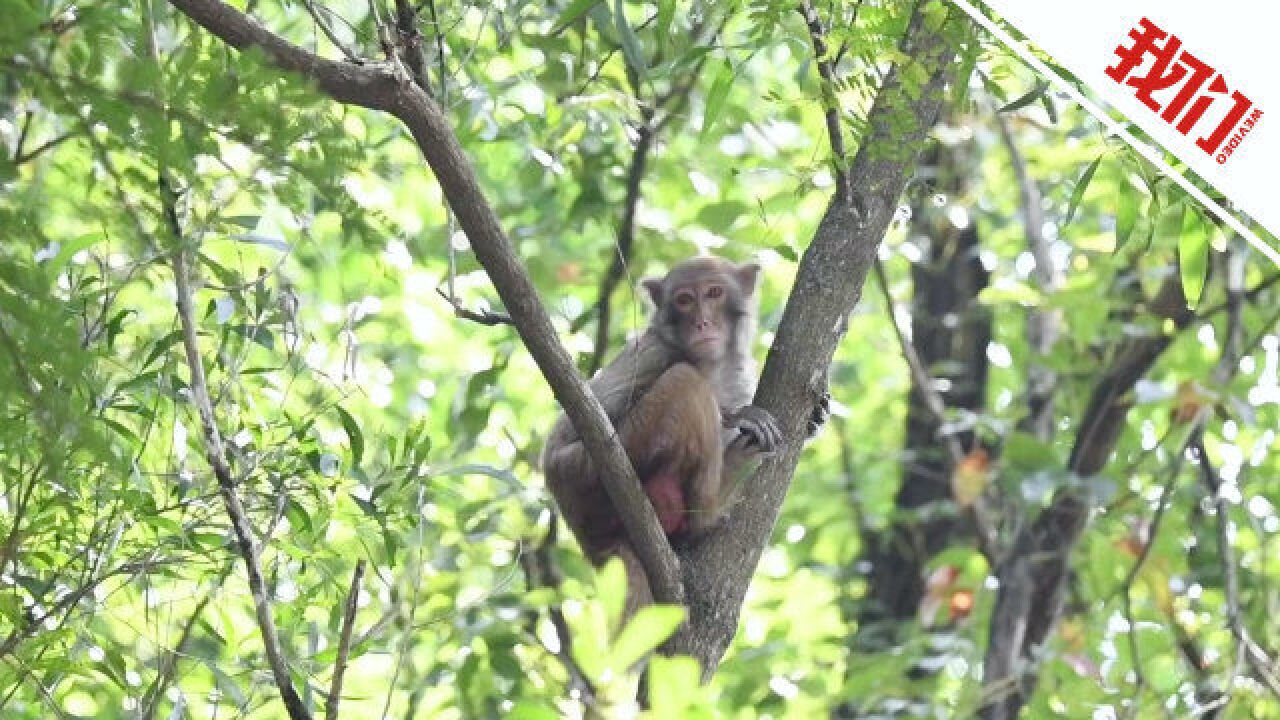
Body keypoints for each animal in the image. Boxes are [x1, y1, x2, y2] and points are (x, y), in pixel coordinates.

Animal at [540, 254, 778, 614]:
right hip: (583, 474)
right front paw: (736, 415)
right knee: (685, 381)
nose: (702, 323)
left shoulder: (739, 374)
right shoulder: (653, 351)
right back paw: (708, 510)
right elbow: (586, 420)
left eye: (714, 293)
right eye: (684, 300)